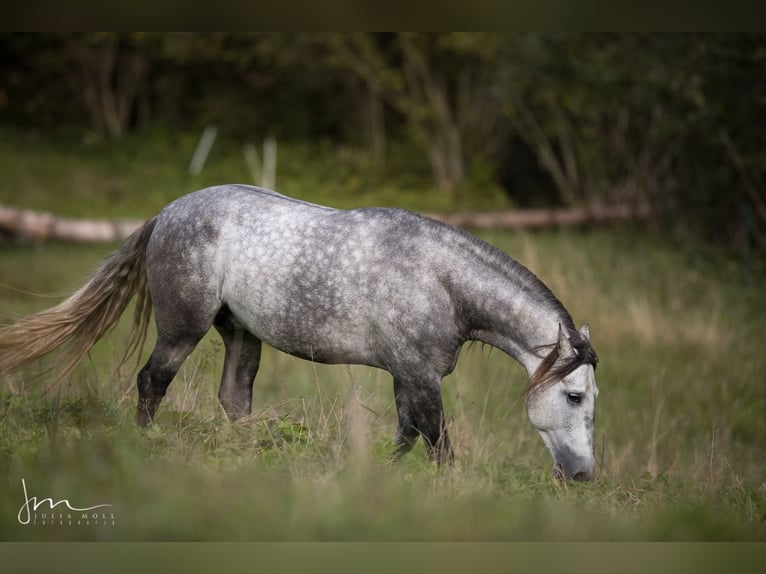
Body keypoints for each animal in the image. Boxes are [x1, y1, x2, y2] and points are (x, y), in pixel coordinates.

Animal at [0, 186, 600, 482]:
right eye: (574, 396)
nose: (582, 475)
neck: (439, 281)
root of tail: (166, 213)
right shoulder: (420, 376)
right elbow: (436, 442)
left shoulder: (408, 375)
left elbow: (407, 436)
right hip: (182, 329)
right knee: (153, 382)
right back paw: (145, 451)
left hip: (241, 335)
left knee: (233, 398)